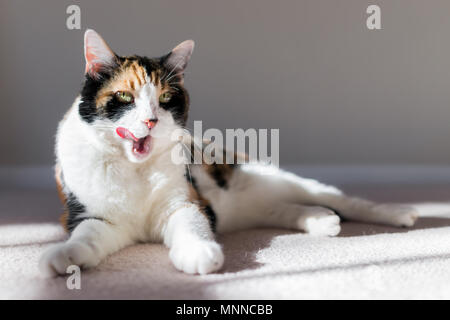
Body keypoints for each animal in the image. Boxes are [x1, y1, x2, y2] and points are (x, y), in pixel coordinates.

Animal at [38, 28, 418, 276]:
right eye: (124, 97)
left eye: (165, 98)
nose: (150, 119)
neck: (135, 169)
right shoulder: (91, 216)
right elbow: (85, 236)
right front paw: (63, 257)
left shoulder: (186, 202)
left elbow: (191, 225)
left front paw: (199, 253)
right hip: (257, 205)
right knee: (282, 209)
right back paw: (321, 220)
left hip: (281, 179)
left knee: (344, 200)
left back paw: (401, 213)